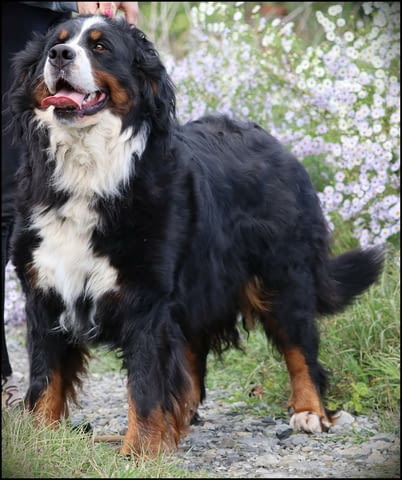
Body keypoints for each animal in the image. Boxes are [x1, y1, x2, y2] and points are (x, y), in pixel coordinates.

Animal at [5, 15, 384, 456]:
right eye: (57, 41)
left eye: (100, 47)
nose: (60, 55)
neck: (89, 176)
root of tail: (277, 144)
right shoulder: (46, 290)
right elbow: (45, 379)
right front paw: (40, 442)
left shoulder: (147, 299)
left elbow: (146, 385)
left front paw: (140, 452)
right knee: (191, 358)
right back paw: (180, 419)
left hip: (281, 276)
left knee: (299, 346)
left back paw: (309, 412)